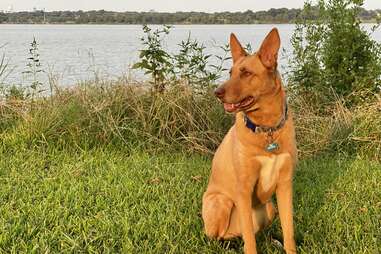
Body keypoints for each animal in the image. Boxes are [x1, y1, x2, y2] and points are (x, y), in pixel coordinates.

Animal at [202, 28, 296, 254]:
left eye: (246, 73)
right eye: (230, 73)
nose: (216, 92)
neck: (267, 129)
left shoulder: (285, 185)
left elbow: (289, 231)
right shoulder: (243, 188)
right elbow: (250, 243)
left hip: (270, 207)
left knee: (252, 232)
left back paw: (272, 241)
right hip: (221, 202)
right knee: (220, 237)